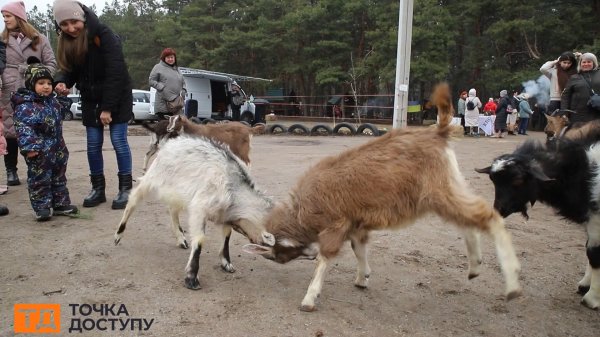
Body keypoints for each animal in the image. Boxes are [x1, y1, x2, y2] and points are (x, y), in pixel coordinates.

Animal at [113, 135, 276, 288]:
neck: (233, 185)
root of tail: (170, 143)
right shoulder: (199, 209)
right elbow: (199, 239)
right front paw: (192, 277)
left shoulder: (225, 214)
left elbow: (227, 235)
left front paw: (226, 263)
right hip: (153, 179)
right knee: (133, 200)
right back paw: (118, 234)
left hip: (177, 191)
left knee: (172, 209)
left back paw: (180, 238)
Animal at [244, 82, 520, 312]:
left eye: (277, 254)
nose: (306, 254)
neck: (303, 209)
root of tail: (438, 131)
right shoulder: (356, 223)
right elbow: (359, 248)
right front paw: (362, 278)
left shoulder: (337, 223)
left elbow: (327, 256)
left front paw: (310, 298)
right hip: (446, 188)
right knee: (468, 221)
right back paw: (475, 266)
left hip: (437, 190)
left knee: (487, 215)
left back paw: (512, 285)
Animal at [478, 132, 600, 310]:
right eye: (493, 179)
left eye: (518, 180)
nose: (499, 210)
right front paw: (584, 286)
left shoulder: (596, 222)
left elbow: (593, 254)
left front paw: (591, 298)